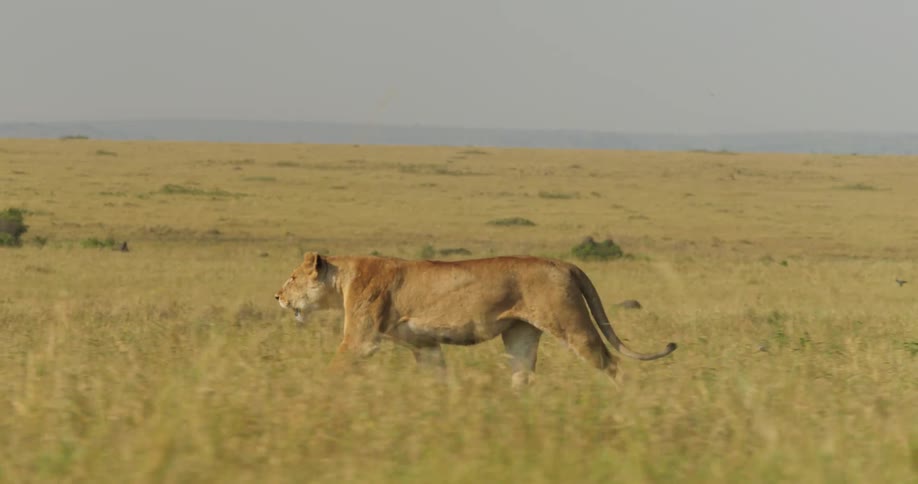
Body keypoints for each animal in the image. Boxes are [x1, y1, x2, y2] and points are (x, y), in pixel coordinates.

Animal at [274, 252, 677, 386]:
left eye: (292, 277)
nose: (277, 296)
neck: (343, 277)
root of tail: (564, 263)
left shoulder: (362, 339)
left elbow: (336, 368)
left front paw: (316, 393)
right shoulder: (426, 344)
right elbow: (438, 376)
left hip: (571, 325)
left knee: (611, 363)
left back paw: (626, 401)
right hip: (520, 335)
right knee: (522, 375)